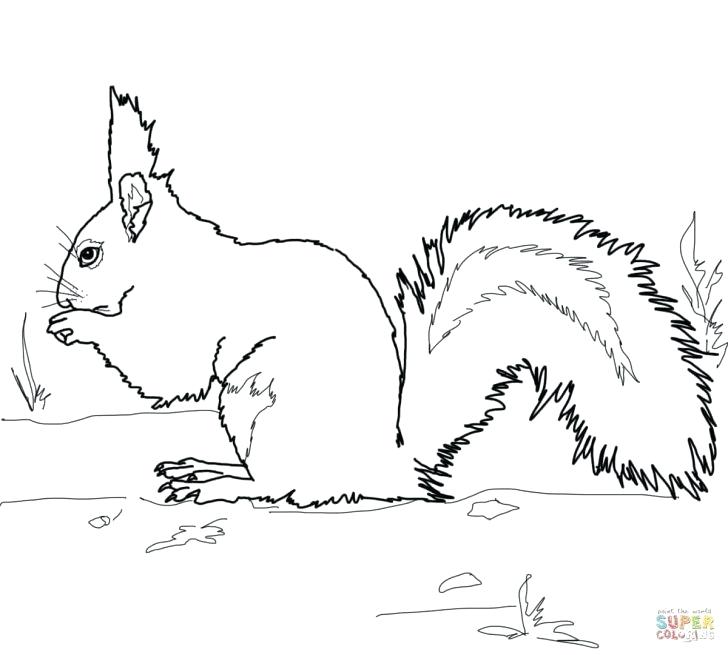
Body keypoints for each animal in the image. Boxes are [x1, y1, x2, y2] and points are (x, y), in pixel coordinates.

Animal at [48, 88, 717, 507]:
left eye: (89, 255)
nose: (58, 291)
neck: (171, 264)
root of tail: (383, 464)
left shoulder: (183, 322)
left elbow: (159, 369)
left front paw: (73, 323)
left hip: (259, 401)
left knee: (281, 486)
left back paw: (215, 484)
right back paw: (205, 468)